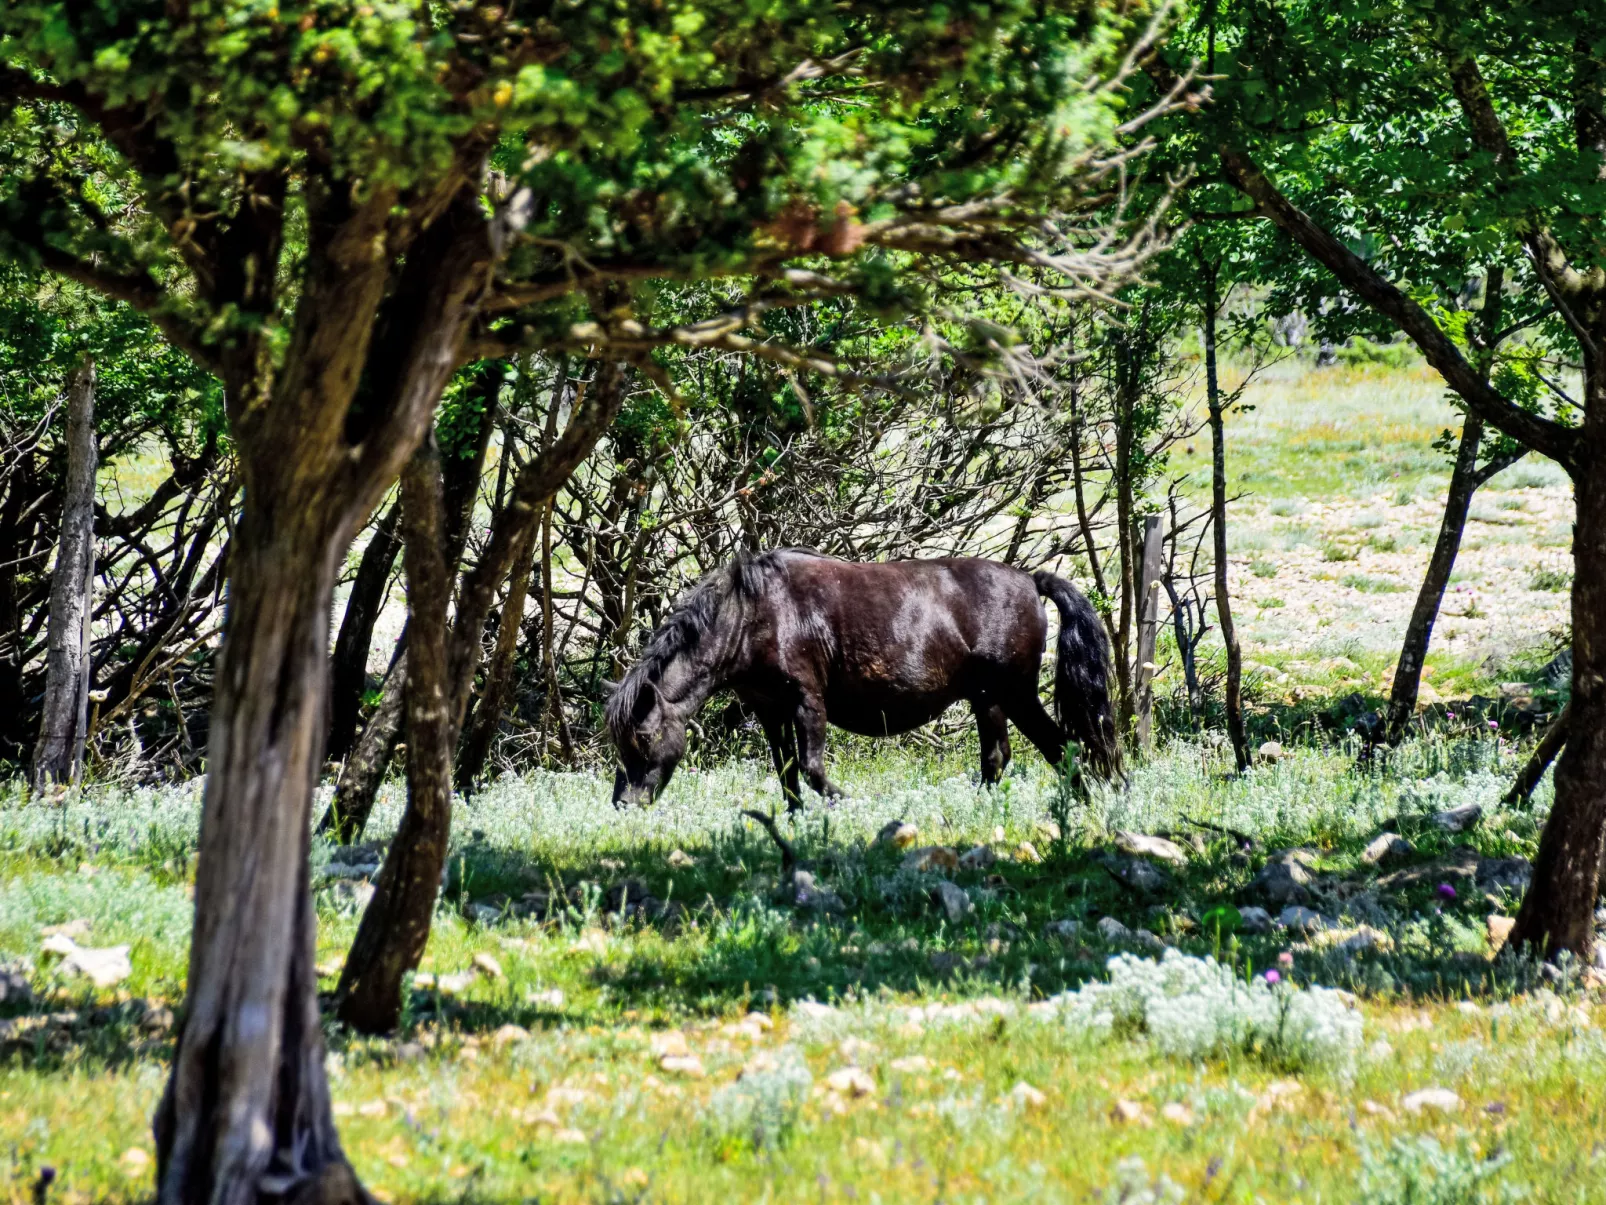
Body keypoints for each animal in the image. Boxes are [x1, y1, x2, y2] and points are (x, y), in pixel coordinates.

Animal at [607, 549, 1124, 812]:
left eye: (644, 737)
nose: (624, 804)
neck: (752, 615)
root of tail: (1029, 581)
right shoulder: (770, 709)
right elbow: (787, 772)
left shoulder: (806, 701)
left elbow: (812, 769)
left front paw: (848, 804)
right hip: (994, 698)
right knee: (1019, 753)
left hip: (1010, 694)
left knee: (1044, 749)